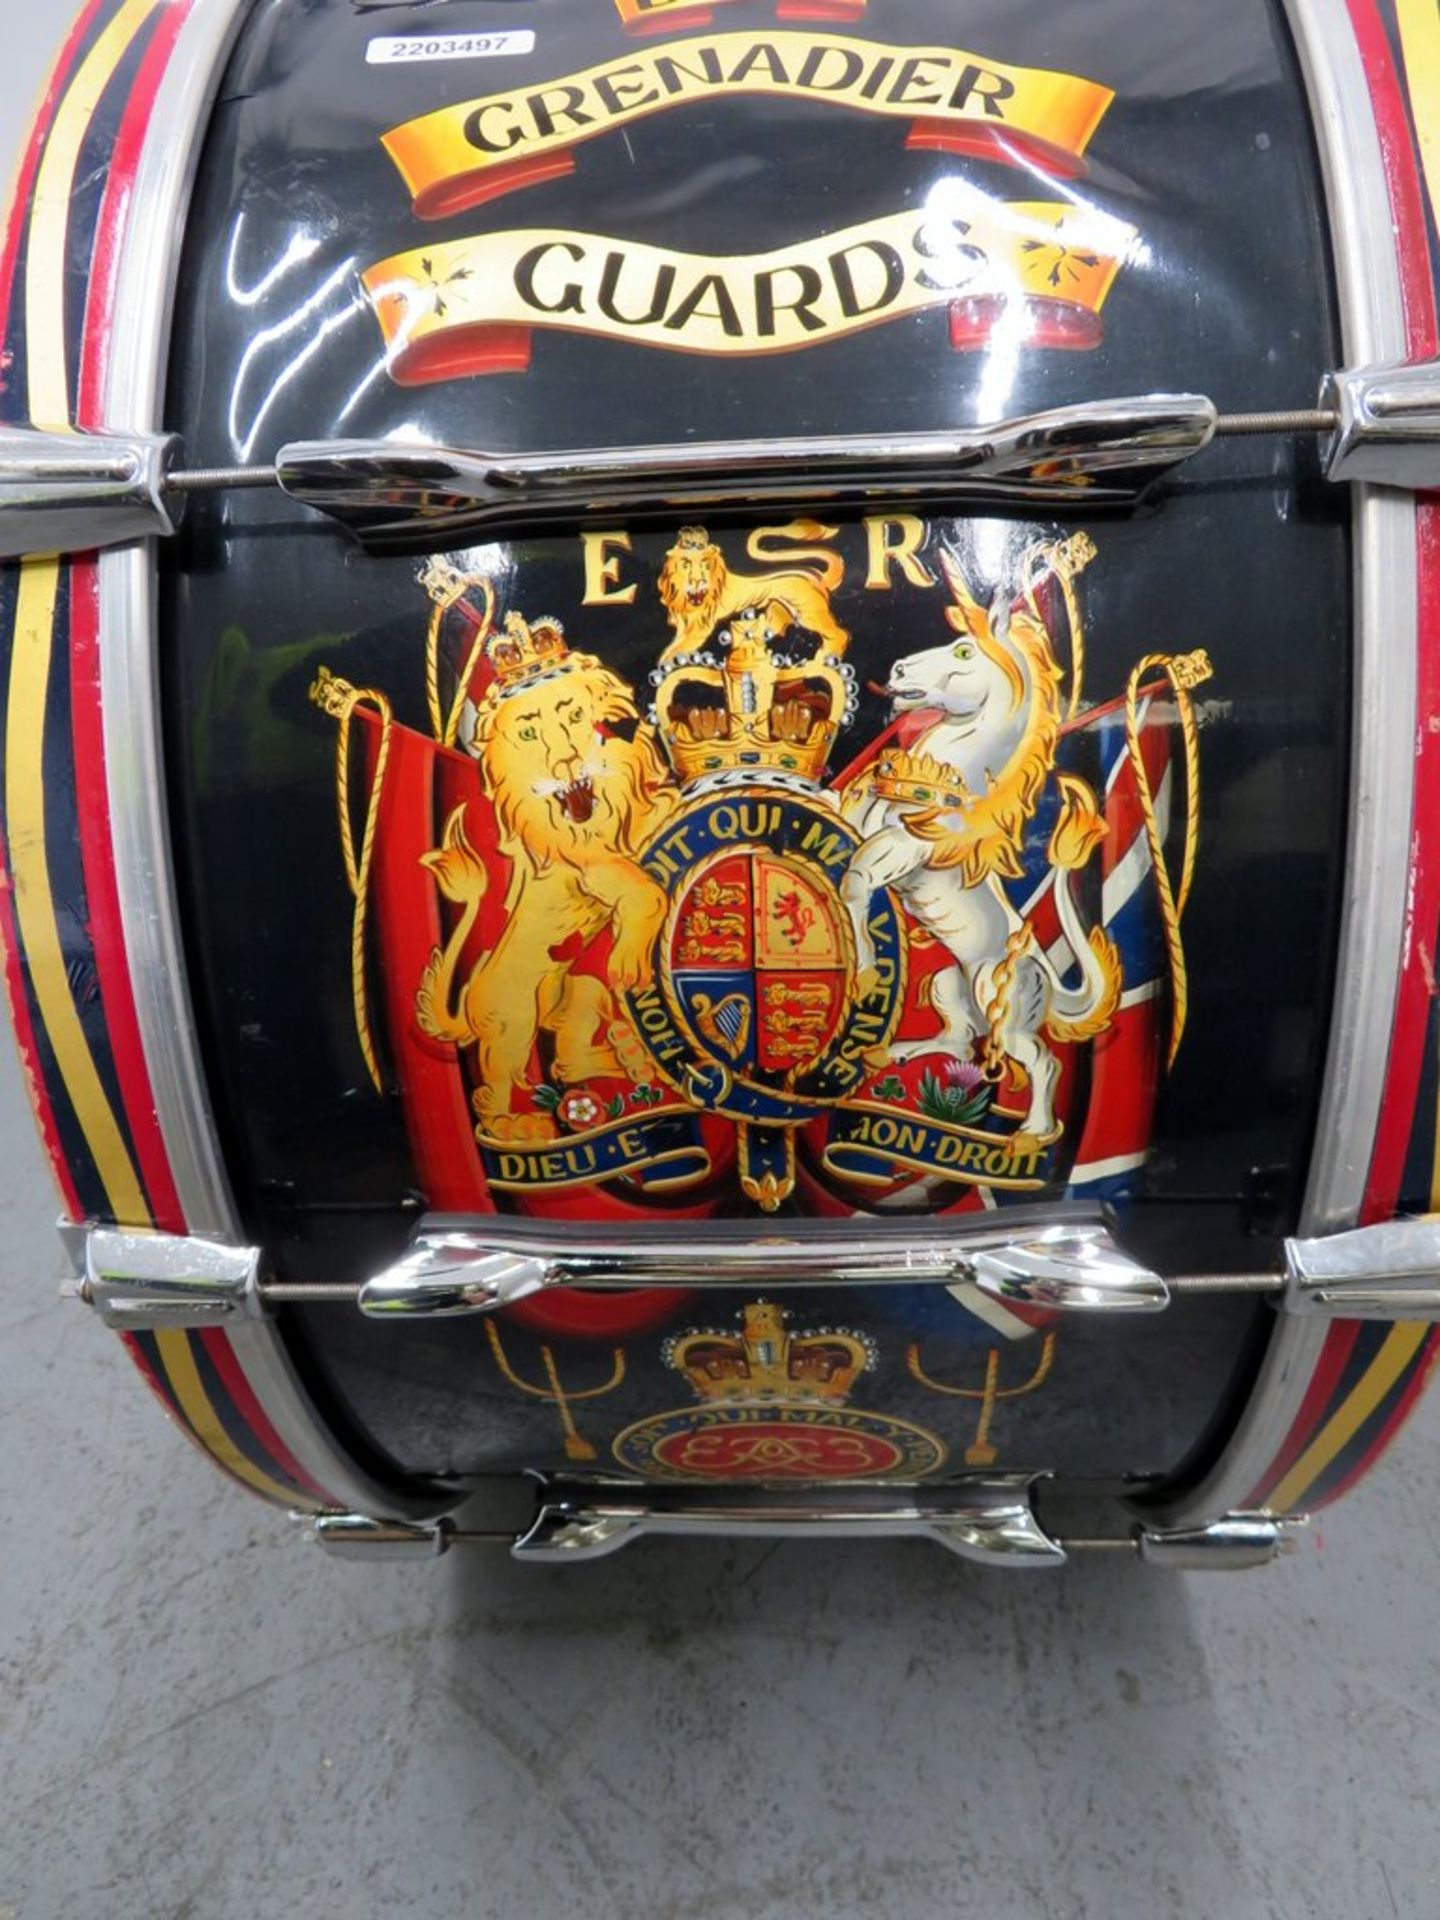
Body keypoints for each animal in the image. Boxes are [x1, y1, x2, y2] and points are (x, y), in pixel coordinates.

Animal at [416, 652, 683, 1144]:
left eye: (574, 714)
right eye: (527, 732)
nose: (567, 761)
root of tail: (470, 1008)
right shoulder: (593, 867)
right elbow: (646, 891)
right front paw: (629, 962)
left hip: (580, 996)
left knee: (567, 1062)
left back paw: (628, 1059)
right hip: (513, 1025)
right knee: (494, 1092)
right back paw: (520, 1126)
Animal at [660, 522, 852, 664]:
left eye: (705, 564)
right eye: (685, 563)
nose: (698, 580)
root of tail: (817, 576)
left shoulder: (700, 629)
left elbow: (674, 651)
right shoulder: (683, 626)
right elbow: (673, 645)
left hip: (809, 613)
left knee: (840, 634)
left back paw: (824, 659)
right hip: (777, 614)